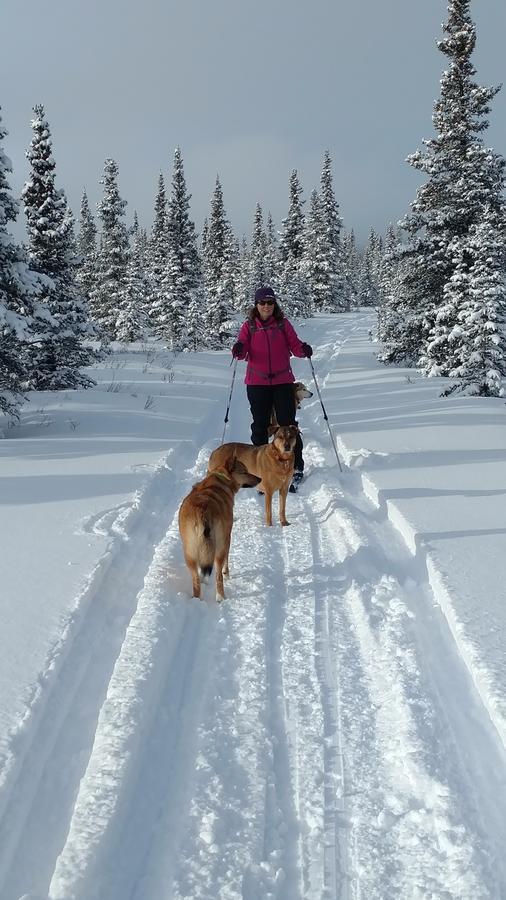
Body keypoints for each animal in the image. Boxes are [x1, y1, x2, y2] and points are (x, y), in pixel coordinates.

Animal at [178, 454, 258, 600]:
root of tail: (203, 512)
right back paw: (220, 597)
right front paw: (227, 575)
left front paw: (204, 579)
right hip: (219, 546)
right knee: (218, 574)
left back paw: (197, 599)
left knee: (196, 579)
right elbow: (226, 562)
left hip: (189, 551)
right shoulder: (227, 537)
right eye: (244, 472)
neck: (223, 478)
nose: (259, 479)